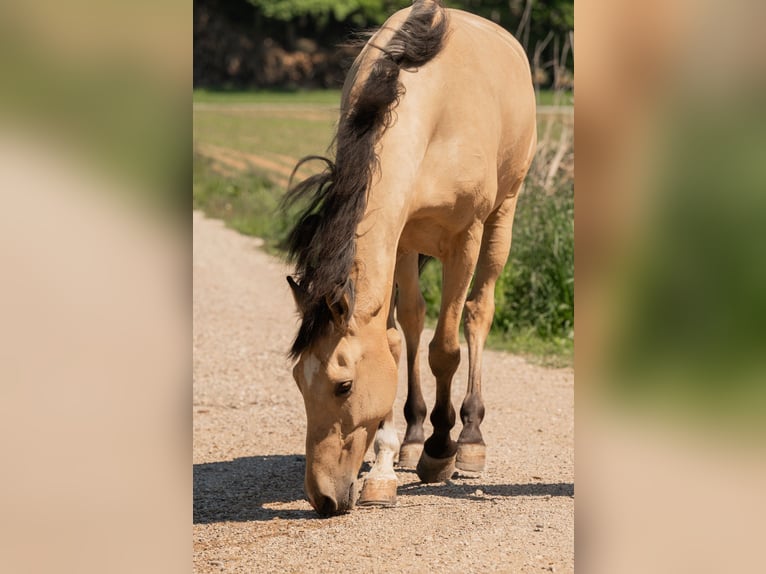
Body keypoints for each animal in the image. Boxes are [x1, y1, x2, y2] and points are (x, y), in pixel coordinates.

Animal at [283, 0, 537, 516]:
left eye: (343, 385)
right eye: (298, 378)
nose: (323, 498)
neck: (434, 108)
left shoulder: (465, 236)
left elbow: (446, 347)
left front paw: (441, 450)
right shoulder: (398, 237)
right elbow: (397, 341)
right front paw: (385, 468)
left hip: (503, 215)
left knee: (477, 313)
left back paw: (467, 439)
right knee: (416, 323)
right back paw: (414, 436)